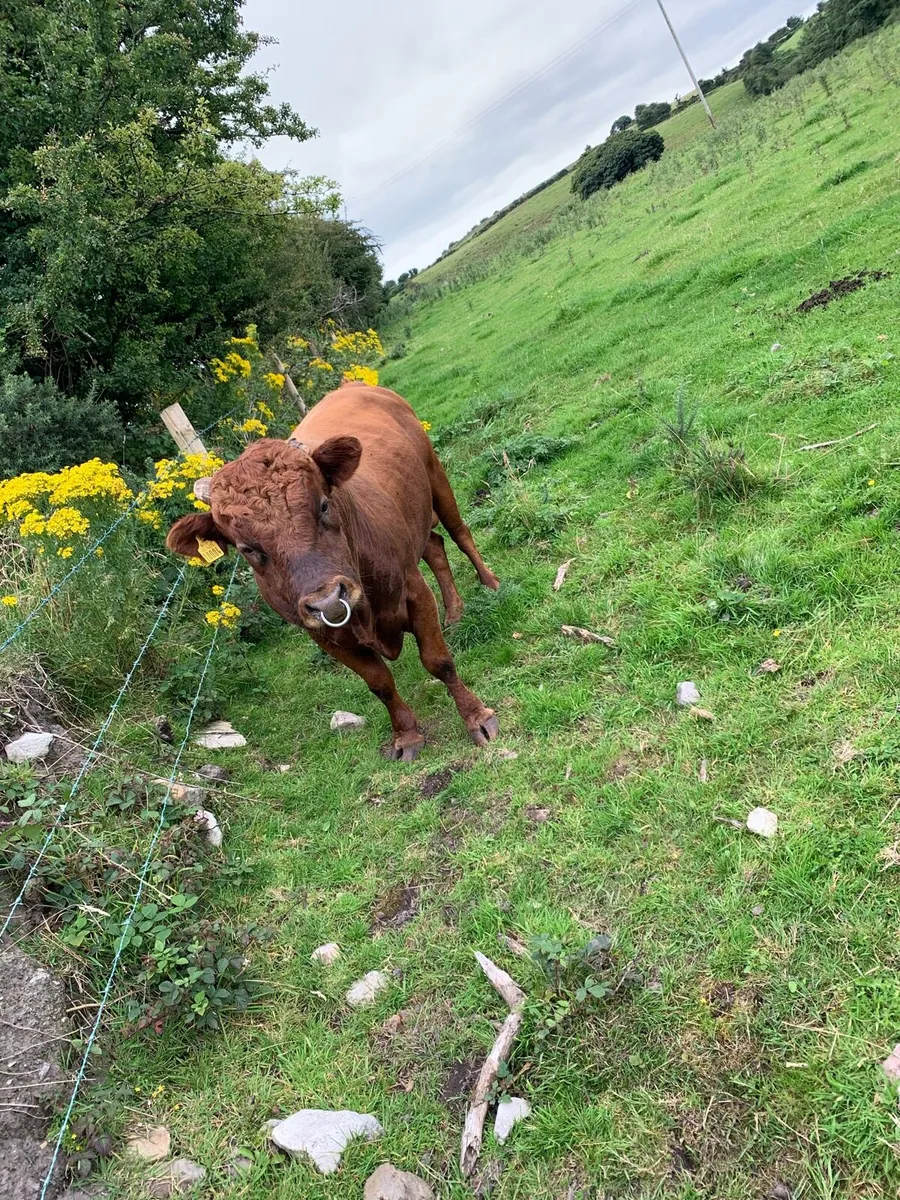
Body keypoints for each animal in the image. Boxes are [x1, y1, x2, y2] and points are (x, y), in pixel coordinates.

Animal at [166, 382, 501, 761]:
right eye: (248, 548)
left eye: (323, 506)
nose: (328, 600)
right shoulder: (326, 637)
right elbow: (380, 684)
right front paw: (407, 736)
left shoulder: (413, 592)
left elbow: (438, 661)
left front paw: (477, 717)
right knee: (435, 547)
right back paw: (455, 611)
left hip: (436, 477)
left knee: (459, 533)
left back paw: (489, 584)